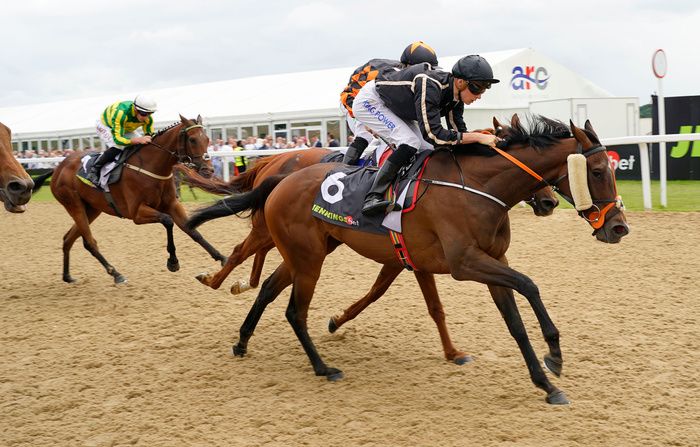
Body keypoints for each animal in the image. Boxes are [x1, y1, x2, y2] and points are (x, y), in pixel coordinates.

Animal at [32, 115, 226, 284]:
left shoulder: (172, 204)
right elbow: (167, 221)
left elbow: (193, 231)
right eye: (192, 140)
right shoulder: (136, 213)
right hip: (74, 204)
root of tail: (58, 167)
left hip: (92, 208)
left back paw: (67, 276)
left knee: (69, 239)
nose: (208, 170)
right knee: (90, 242)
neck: (151, 167)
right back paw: (116, 274)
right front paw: (173, 262)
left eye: (207, 139)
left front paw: (222, 258)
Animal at [191, 115, 628, 406]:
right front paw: (554, 354)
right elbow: (529, 285)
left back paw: (242, 340)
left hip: (308, 252)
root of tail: (281, 176)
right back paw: (321, 366)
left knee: (269, 288)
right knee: (292, 308)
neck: (475, 186)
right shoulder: (463, 264)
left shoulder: (476, 262)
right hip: (307, 257)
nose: (619, 227)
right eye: (597, 170)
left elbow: (512, 323)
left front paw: (546, 382)